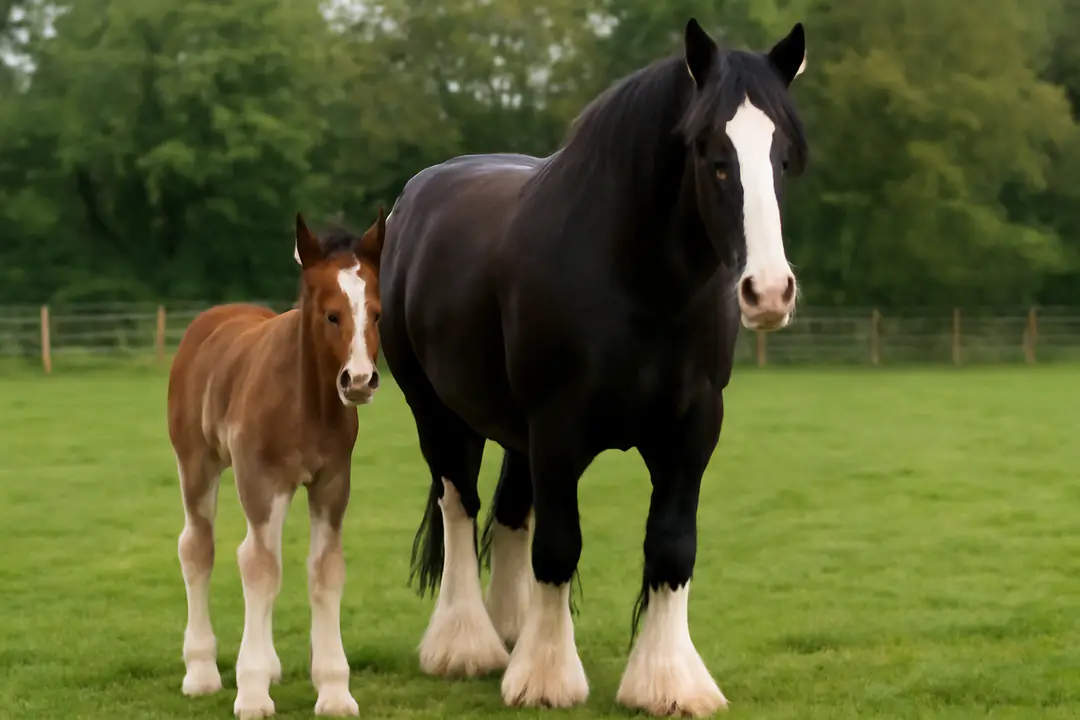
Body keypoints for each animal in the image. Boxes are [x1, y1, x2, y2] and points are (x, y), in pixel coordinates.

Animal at [167, 209, 385, 719]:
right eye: (331, 314)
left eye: (378, 313)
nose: (359, 380)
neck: (305, 402)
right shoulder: (261, 481)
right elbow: (259, 567)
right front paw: (250, 693)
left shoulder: (330, 483)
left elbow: (324, 569)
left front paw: (334, 690)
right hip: (197, 465)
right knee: (198, 547)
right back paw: (201, 671)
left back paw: (267, 665)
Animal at [379, 17, 809, 715]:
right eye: (710, 155)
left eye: (784, 156)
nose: (768, 292)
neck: (639, 282)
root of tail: (414, 199)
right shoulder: (558, 427)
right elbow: (560, 545)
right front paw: (546, 678)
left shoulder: (693, 428)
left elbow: (671, 546)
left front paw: (666, 680)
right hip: (438, 413)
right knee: (459, 505)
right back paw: (465, 645)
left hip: (515, 431)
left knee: (508, 510)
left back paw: (510, 630)